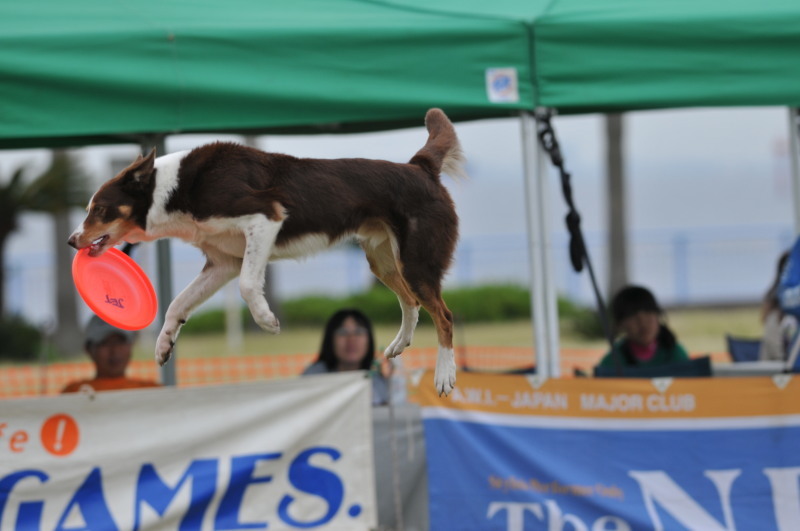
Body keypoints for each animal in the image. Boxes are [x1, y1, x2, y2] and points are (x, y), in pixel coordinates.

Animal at [73, 109, 468, 394]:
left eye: (99, 209)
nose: (71, 241)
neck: (176, 189)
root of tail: (419, 167)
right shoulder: (223, 262)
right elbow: (176, 305)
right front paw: (163, 344)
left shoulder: (265, 218)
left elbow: (248, 285)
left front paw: (266, 320)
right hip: (384, 261)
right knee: (412, 303)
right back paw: (400, 343)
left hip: (415, 261)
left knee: (445, 315)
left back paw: (445, 375)